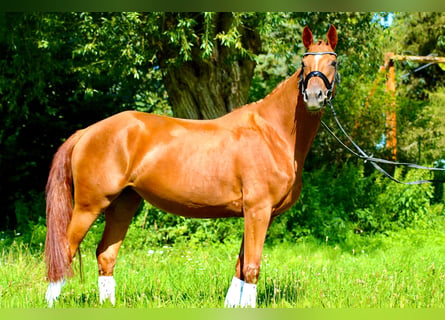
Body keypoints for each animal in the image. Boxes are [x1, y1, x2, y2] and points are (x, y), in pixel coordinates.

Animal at [44, 25, 336, 308]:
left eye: (333, 62)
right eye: (303, 63)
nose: (314, 97)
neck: (272, 133)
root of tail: (88, 131)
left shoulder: (257, 214)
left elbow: (240, 266)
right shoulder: (258, 210)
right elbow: (252, 268)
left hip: (123, 204)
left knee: (105, 254)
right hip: (89, 205)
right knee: (66, 251)